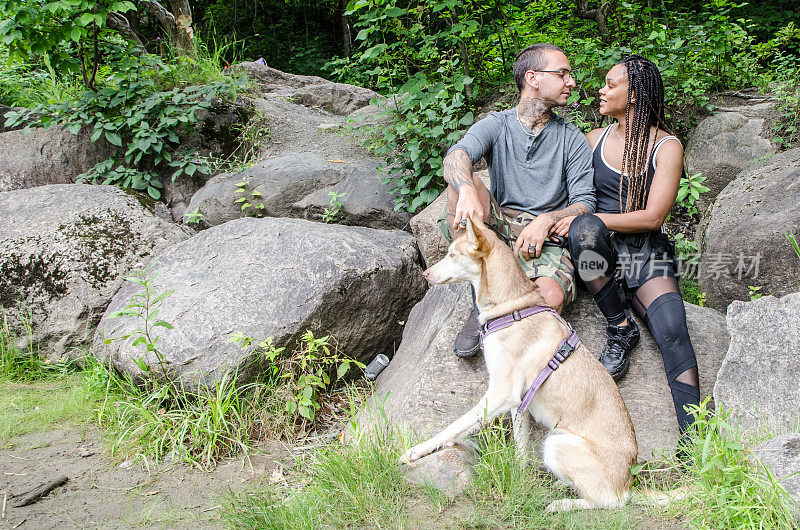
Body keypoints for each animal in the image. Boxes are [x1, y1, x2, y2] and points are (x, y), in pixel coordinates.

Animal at [400, 217, 636, 510]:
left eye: (453, 255)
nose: (425, 274)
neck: (511, 307)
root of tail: (629, 483)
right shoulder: (518, 402)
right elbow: (520, 451)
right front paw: (518, 482)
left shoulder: (501, 393)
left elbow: (453, 428)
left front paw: (416, 451)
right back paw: (562, 486)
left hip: (557, 445)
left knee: (607, 502)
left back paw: (562, 504)